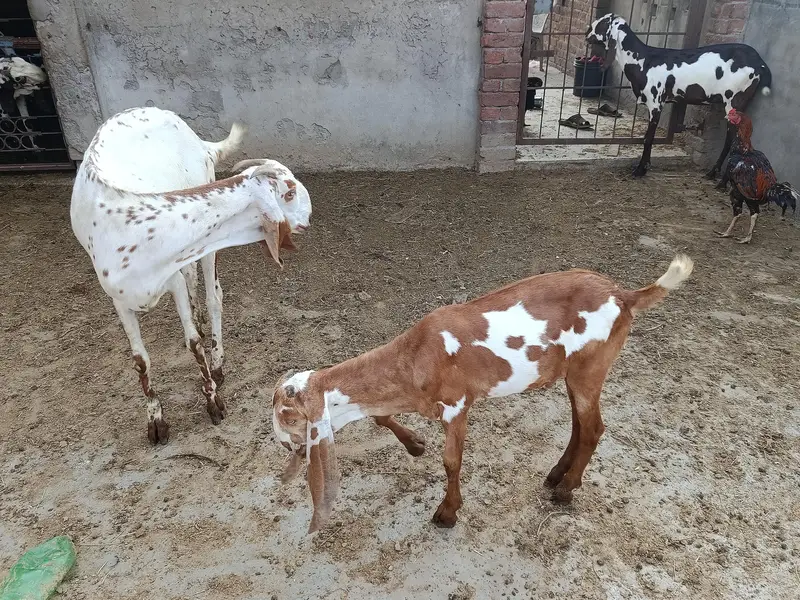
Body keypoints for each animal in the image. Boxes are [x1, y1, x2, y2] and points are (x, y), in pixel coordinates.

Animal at [71, 107, 311, 444]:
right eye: (289, 192)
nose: (309, 217)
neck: (136, 229)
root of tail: (199, 141)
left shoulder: (172, 278)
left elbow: (194, 343)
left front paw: (214, 403)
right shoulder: (117, 297)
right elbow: (139, 360)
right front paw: (155, 422)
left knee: (213, 297)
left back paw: (218, 362)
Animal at [272, 255, 694, 533]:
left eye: (288, 428)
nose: (289, 468)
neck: (415, 357)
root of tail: (624, 295)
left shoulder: (458, 403)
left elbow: (451, 461)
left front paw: (447, 513)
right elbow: (380, 415)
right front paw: (415, 445)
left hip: (591, 366)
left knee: (593, 428)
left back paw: (565, 491)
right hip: (574, 373)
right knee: (579, 423)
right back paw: (557, 476)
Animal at [586, 13, 772, 179]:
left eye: (601, 23)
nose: (586, 33)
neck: (644, 60)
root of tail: (759, 63)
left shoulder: (656, 104)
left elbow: (648, 138)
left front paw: (640, 170)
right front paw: (645, 166)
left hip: (734, 101)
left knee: (732, 139)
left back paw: (715, 175)